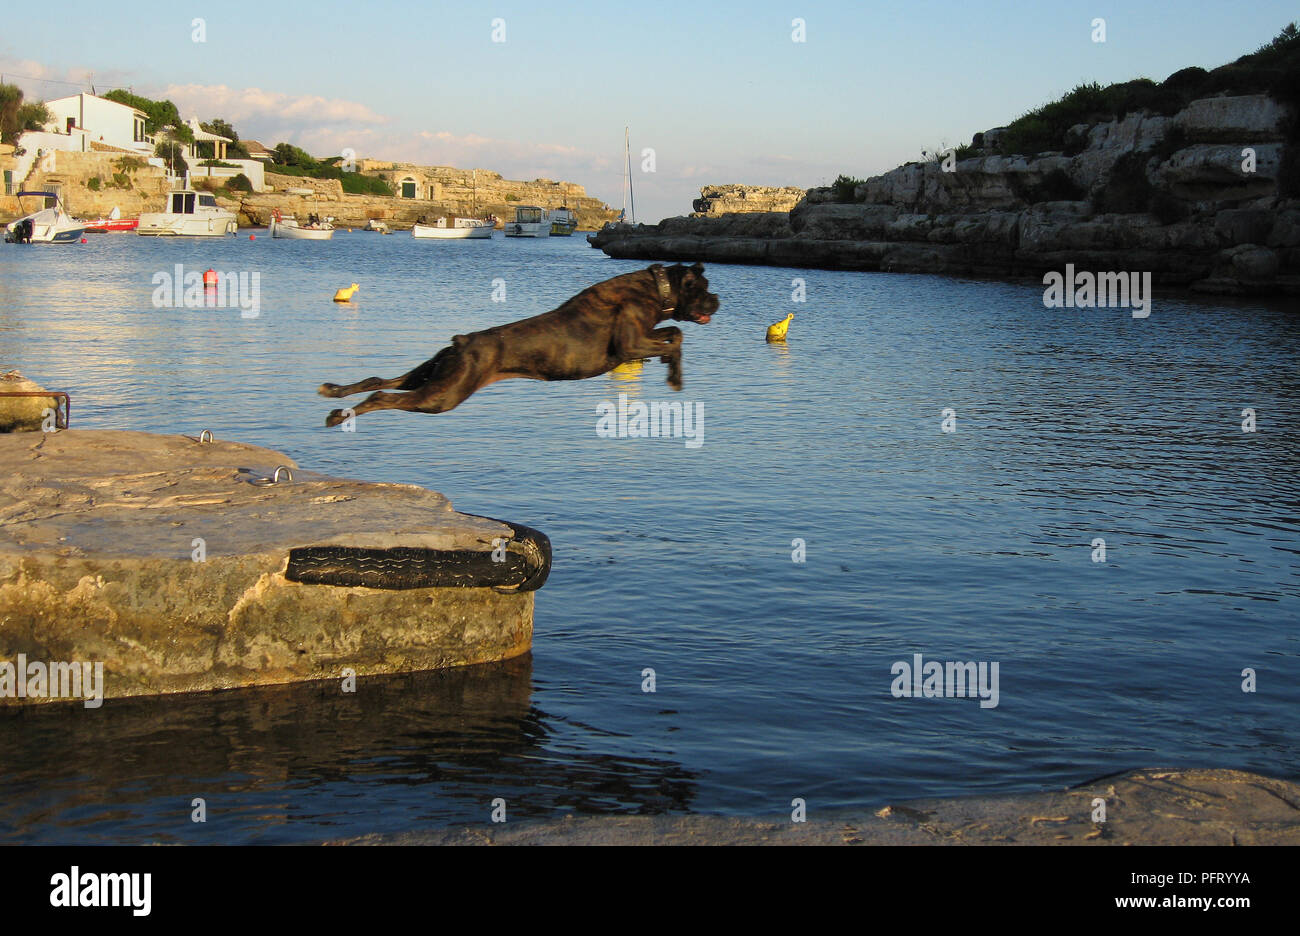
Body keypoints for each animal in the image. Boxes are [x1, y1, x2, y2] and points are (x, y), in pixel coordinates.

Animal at [318, 261, 717, 426]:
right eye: (703, 288)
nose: (718, 300)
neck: (655, 288)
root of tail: (463, 341)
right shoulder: (630, 347)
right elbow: (675, 338)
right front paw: (675, 377)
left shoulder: (644, 338)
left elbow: (673, 333)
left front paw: (670, 368)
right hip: (443, 395)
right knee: (381, 396)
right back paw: (339, 417)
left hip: (431, 375)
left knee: (378, 381)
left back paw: (335, 394)